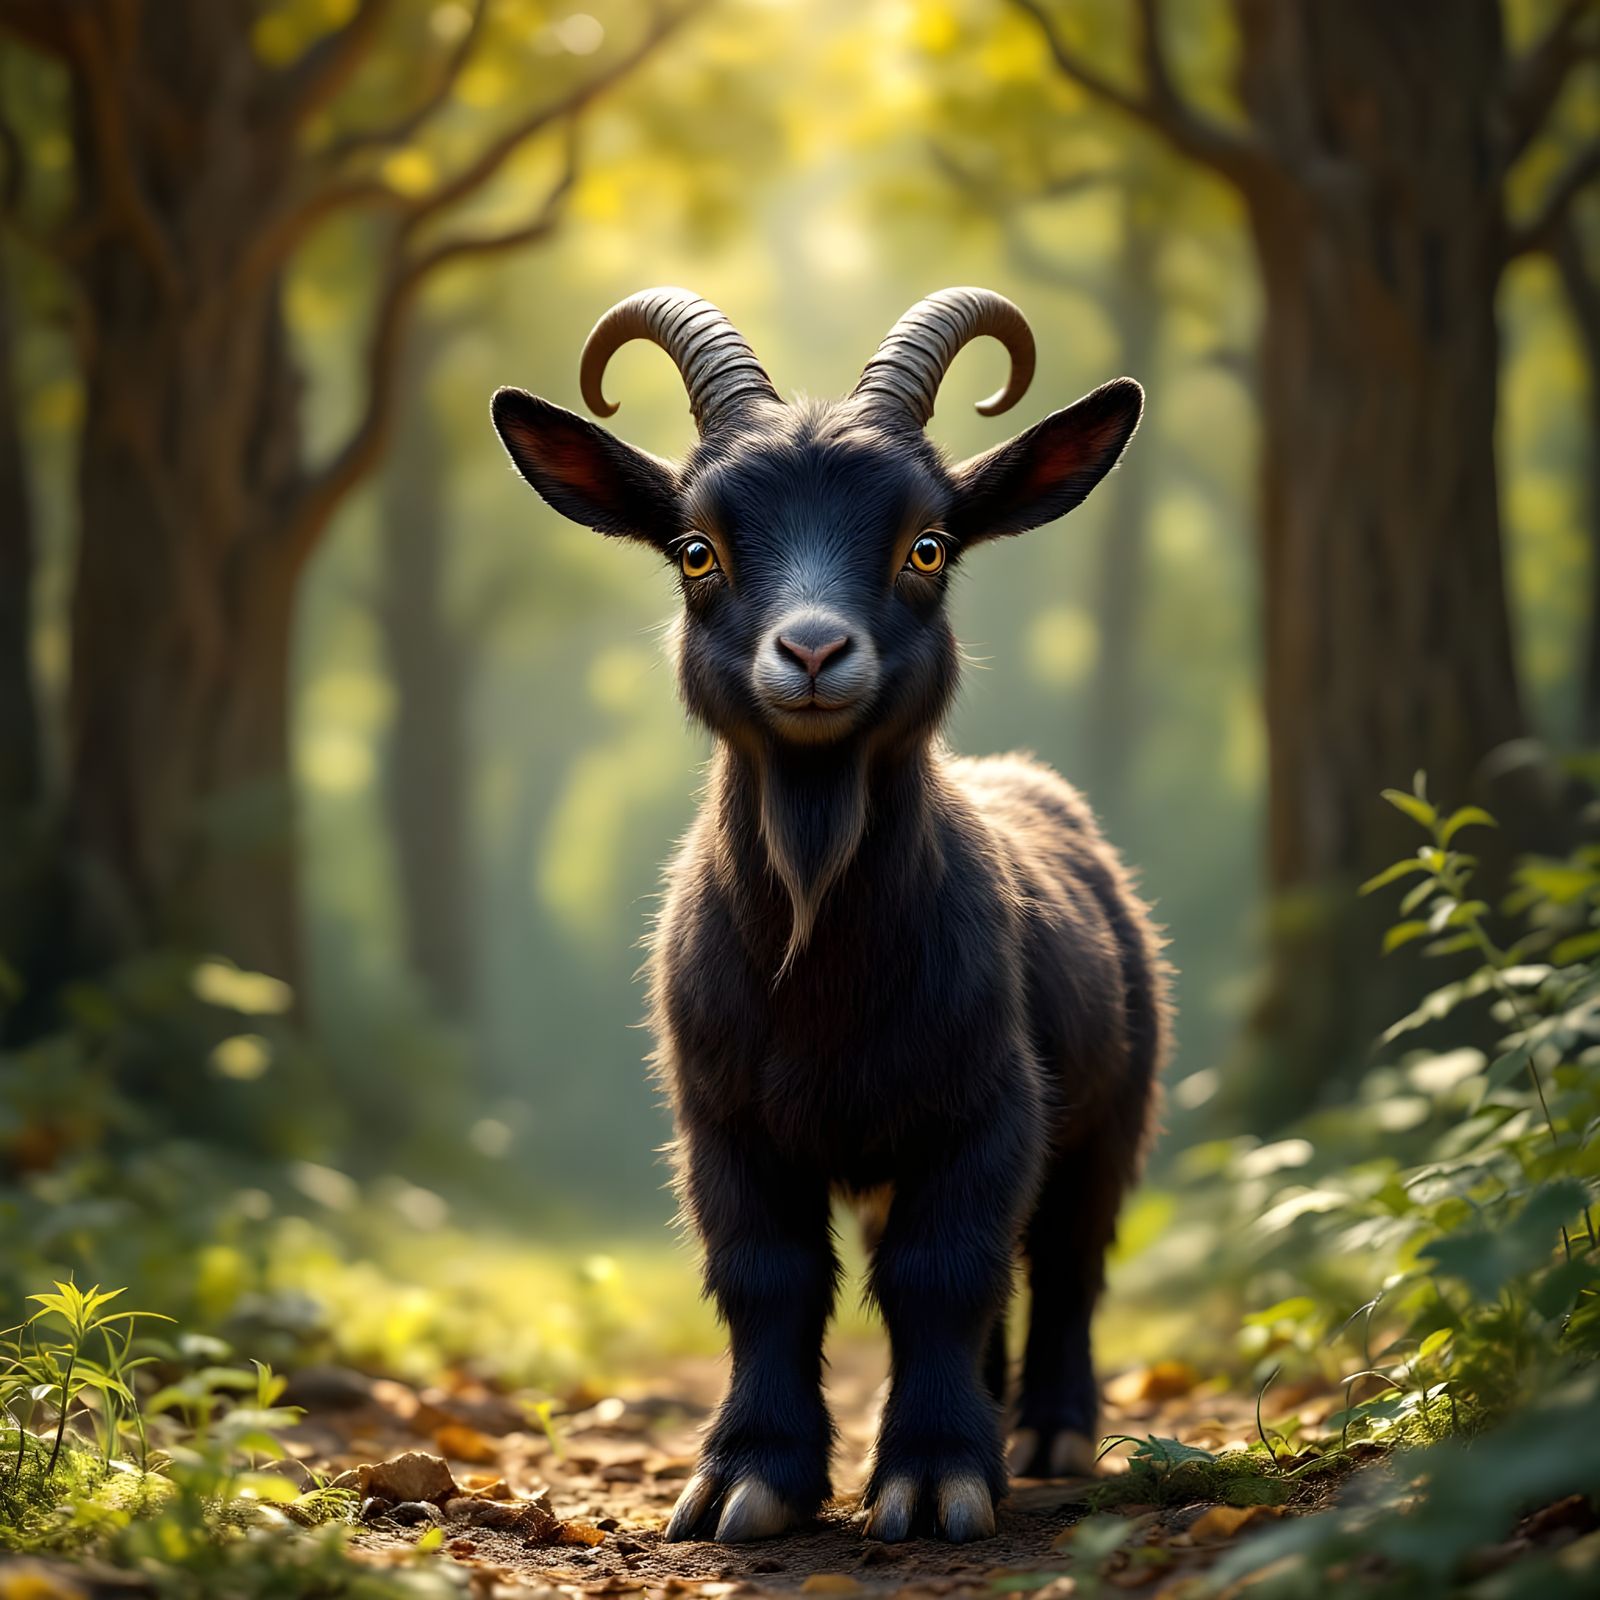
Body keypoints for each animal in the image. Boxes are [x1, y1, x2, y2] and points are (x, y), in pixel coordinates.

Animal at [492, 287, 1171, 1546]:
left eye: (926, 546)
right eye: (697, 550)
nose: (811, 649)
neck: (820, 967)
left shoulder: (989, 1106)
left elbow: (941, 1270)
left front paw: (936, 1477)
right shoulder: (723, 1119)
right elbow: (768, 1274)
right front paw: (746, 1479)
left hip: (1112, 1108)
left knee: (1064, 1258)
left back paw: (1046, 1434)